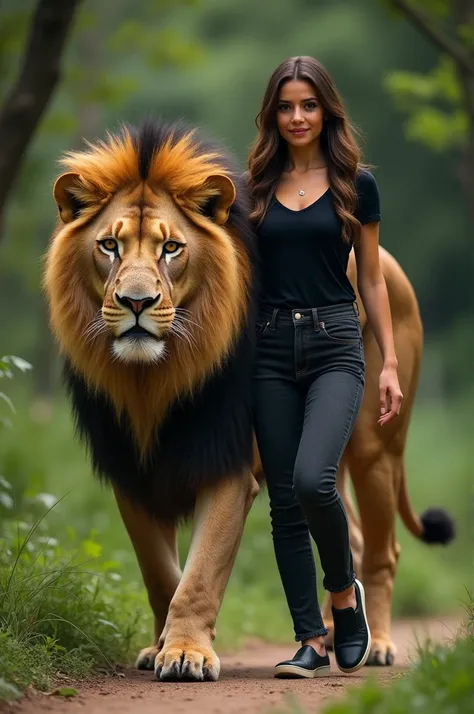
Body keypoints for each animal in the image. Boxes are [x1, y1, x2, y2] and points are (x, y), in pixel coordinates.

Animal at [45, 118, 456, 680]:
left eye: (170, 249)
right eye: (109, 245)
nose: (136, 302)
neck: (152, 381)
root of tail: (385, 259)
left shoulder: (230, 466)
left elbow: (199, 574)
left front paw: (186, 654)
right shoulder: (132, 471)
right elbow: (160, 574)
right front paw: (160, 646)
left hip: (377, 447)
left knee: (380, 550)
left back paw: (376, 645)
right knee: (344, 535)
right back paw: (332, 637)